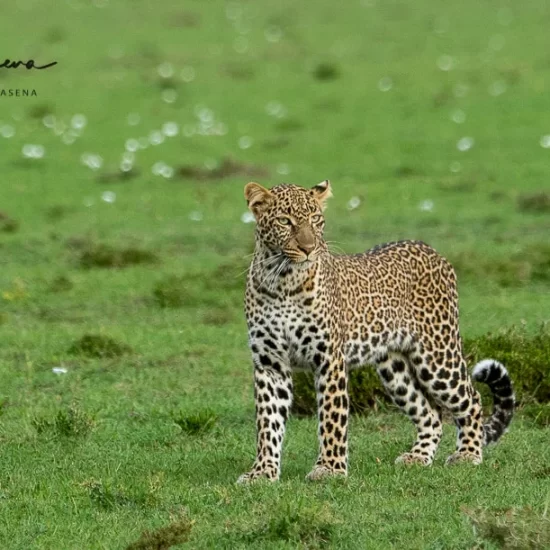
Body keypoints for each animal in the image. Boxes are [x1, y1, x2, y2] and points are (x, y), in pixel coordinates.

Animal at [238, 181, 516, 484]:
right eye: (284, 221)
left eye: (315, 219)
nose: (309, 248)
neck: (282, 281)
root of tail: (430, 249)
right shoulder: (270, 364)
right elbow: (267, 422)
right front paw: (262, 472)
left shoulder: (329, 359)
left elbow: (332, 418)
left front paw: (330, 469)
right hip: (394, 368)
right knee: (430, 413)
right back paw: (418, 457)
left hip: (437, 356)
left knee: (471, 399)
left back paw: (467, 454)